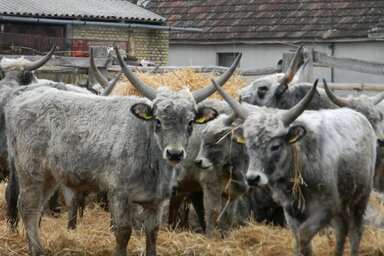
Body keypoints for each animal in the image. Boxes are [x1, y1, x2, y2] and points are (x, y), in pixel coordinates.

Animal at [4, 46, 240, 256]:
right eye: (158, 121)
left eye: (190, 123)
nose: (175, 154)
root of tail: (18, 98)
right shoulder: (119, 193)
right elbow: (123, 232)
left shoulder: (156, 200)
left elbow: (152, 234)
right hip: (31, 171)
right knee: (27, 206)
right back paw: (35, 249)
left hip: (50, 177)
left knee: (37, 207)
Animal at [206, 79, 376, 255]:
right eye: (248, 143)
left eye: (275, 146)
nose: (252, 178)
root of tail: (358, 116)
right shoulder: (291, 211)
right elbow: (301, 241)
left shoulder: (327, 208)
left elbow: (303, 236)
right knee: (342, 229)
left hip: (360, 199)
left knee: (355, 232)